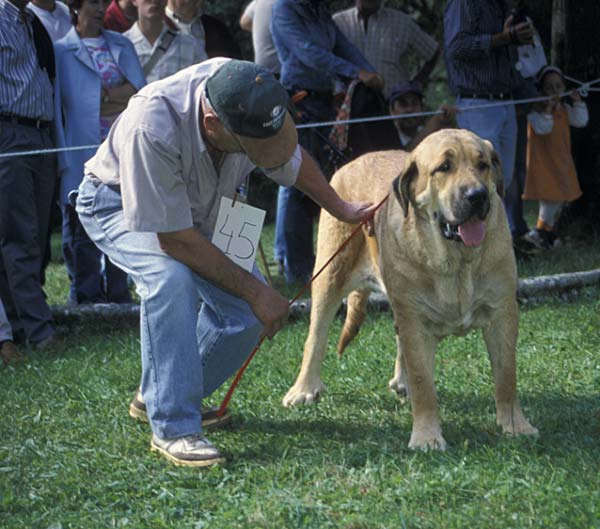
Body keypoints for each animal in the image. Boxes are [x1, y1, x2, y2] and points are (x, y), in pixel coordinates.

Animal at [282, 129, 540, 450]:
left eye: (483, 165)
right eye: (444, 167)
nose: (477, 195)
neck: (457, 262)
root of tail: (348, 163)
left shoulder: (502, 312)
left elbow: (506, 375)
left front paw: (516, 425)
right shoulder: (415, 320)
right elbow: (423, 383)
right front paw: (427, 437)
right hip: (330, 274)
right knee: (316, 335)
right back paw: (304, 389)